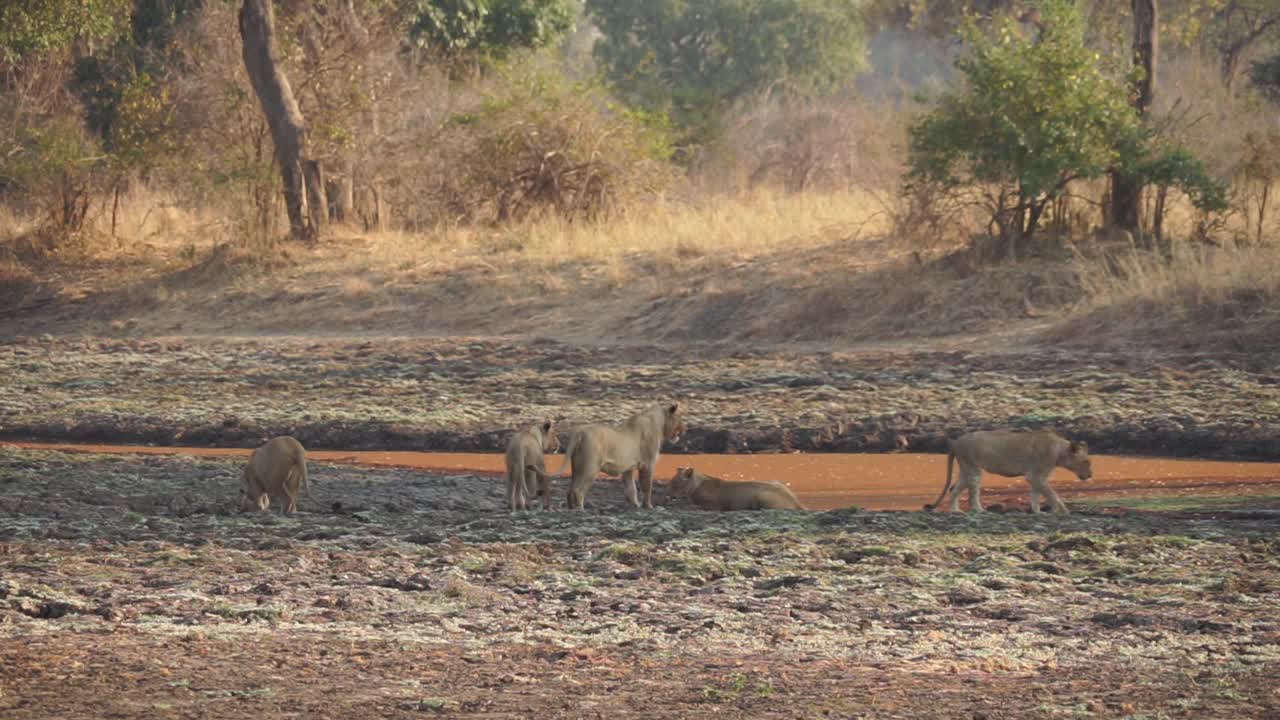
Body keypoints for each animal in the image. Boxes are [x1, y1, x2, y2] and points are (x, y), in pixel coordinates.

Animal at [535, 399, 686, 507]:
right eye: (680, 419)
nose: (685, 429)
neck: (659, 422)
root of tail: (579, 432)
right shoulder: (648, 464)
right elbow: (647, 486)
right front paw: (648, 507)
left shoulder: (628, 469)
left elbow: (631, 489)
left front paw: (635, 505)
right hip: (590, 467)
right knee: (578, 491)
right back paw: (581, 510)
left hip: (577, 466)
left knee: (569, 490)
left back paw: (572, 509)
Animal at [665, 466, 803, 509]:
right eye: (670, 483)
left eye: (676, 483)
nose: (669, 496)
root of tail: (796, 502)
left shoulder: (712, 505)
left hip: (762, 496)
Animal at [926, 425, 1095, 509]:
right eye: (1086, 461)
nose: (1090, 475)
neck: (1059, 450)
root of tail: (956, 441)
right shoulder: (1035, 476)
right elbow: (1052, 495)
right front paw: (1063, 511)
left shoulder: (1037, 478)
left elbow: (1036, 496)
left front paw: (1037, 512)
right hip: (973, 469)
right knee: (972, 496)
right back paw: (980, 511)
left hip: (965, 469)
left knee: (954, 489)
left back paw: (956, 511)